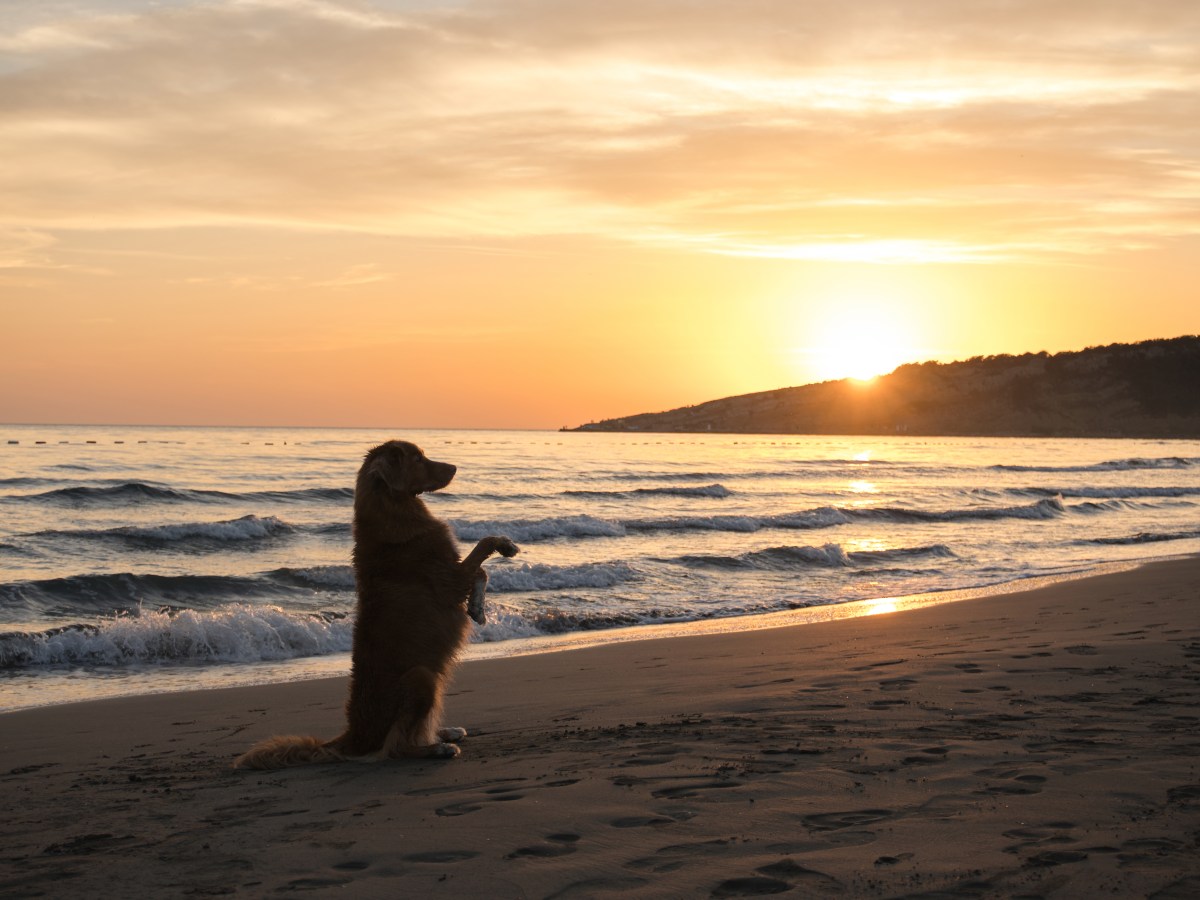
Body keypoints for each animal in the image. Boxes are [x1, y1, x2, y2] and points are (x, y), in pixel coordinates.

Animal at [234, 441, 516, 772]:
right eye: (418, 459)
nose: (455, 468)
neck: (391, 507)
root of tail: (353, 739)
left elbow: (481, 572)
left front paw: (478, 608)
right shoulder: (448, 581)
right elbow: (483, 552)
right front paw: (503, 548)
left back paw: (444, 732)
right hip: (421, 677)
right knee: (398, 747)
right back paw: (438, 748)